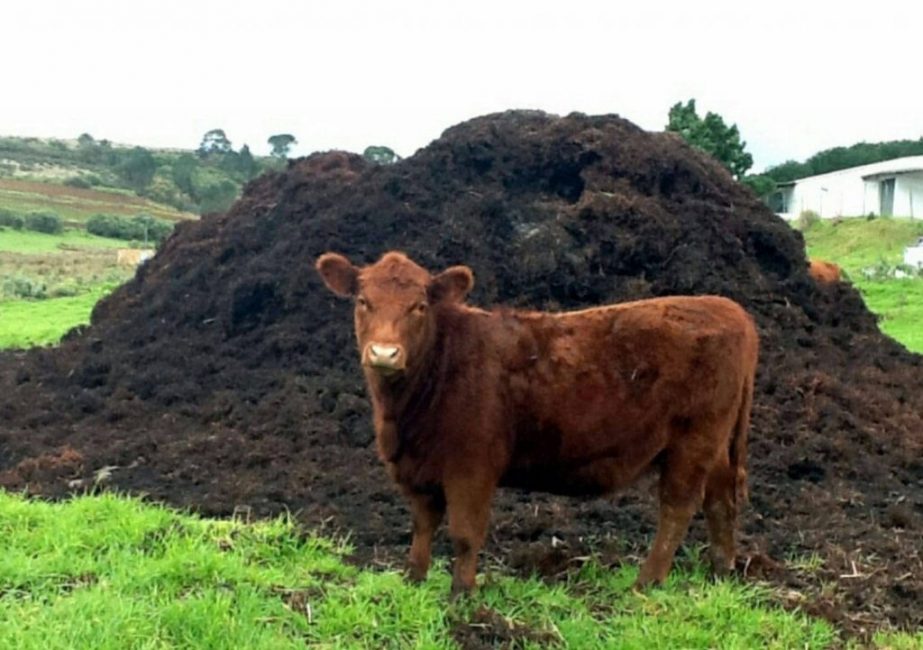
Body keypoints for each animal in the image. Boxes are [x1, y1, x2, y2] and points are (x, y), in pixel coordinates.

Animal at [318, 251, 756, 596]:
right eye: (363, 301)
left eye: (419, 307)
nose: (384, 353)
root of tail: (729, 308)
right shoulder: (419, 469)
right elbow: (423, 525)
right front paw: (413, 580)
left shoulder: (471, 467)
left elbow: (464, 533)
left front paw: (461, 594)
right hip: (716, 445)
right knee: (720, 500)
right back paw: (721, 573)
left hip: (693, 441)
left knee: (678, 507)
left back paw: (646, 583)